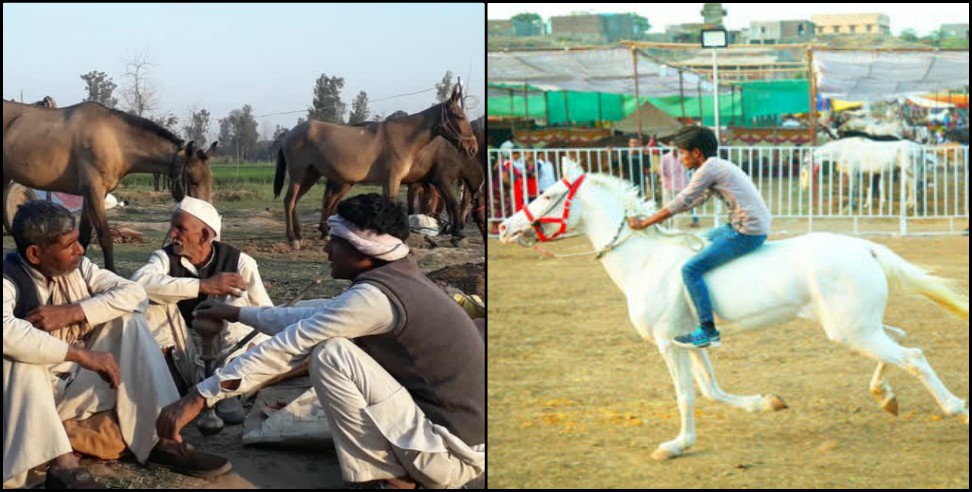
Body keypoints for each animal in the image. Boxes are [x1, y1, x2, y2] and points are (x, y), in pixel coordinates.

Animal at [1, 99, 215, 270]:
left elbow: (84, 237)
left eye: (209, 181)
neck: (114, 139)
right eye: (193, 181)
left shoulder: (92, 194)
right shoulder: (94, 191)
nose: (206, 230)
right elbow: (105, 237)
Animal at [274, 83, 478, 250]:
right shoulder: (393, 179)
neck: (403, 137)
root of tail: (288, 135)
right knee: (289, 201)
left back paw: (301, 235)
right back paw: (293, 238)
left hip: (311, 175)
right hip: (299, 175)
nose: (473, 147)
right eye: (459, 116)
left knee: (297, 202)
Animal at [498, 159, 968, 462]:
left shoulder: (667, 344)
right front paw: (767, 403)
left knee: (914, 357)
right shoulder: (689, 339)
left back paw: (952, 407)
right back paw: (885, 397)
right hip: (857, 327)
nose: (504, 227)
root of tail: (866, 248)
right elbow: (711, 389)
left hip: (852, 330)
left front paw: (675, 445)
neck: (644, 260)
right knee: (901, 341)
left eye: (546, 194)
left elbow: (686, 394)